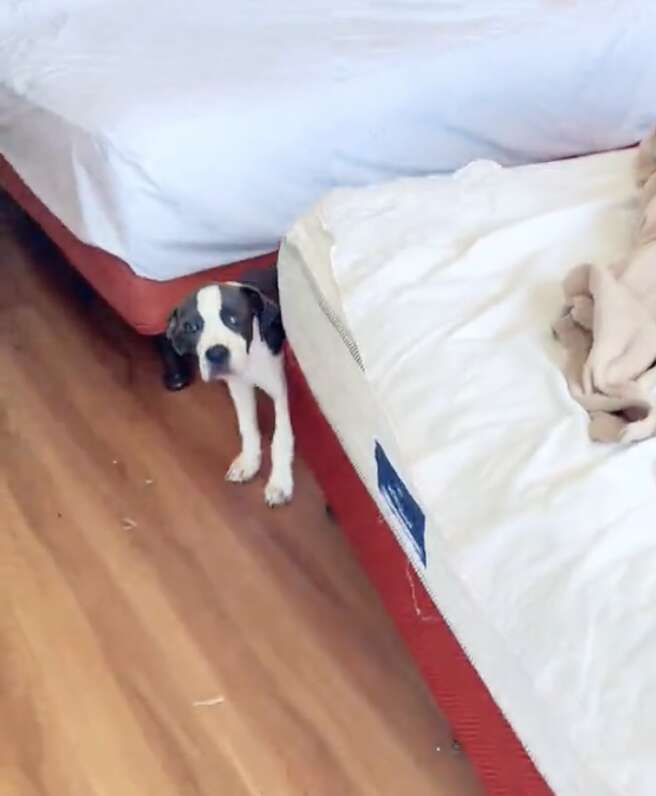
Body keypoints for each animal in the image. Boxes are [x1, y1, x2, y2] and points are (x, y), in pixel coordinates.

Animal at [167, 270, 294, 506]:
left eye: (234, 320)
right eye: (191, 327)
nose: (216, 353)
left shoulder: (279, 391)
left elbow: (281, 437)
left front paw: (280, 482)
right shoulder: (239, 387)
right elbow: (247, 426)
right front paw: (249, 462)